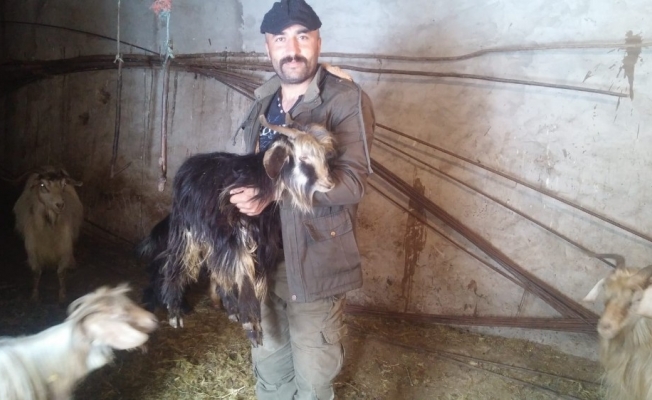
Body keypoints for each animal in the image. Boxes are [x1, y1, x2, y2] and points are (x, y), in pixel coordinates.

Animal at [13, 166, 84, 303]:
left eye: (64, 184)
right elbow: (36, 272)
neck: (50, 224)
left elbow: (61, 272)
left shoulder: (64, 247)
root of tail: (49, 167)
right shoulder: (33, 249)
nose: (60, 204)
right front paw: (34, 295)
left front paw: (62, 294)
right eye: (42, 185)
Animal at [156, 115, 336, 346]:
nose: (329, 184)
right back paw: (174, 311)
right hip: (185, 230)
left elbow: (253, 277)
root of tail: (190, 164)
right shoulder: (235, 238)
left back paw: (231, 308)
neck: (257, 180)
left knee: (217, 269)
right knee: (176, 263)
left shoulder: (263, 245)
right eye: (303, 158)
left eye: (323, 156)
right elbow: (244, 275)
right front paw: (251, 324)